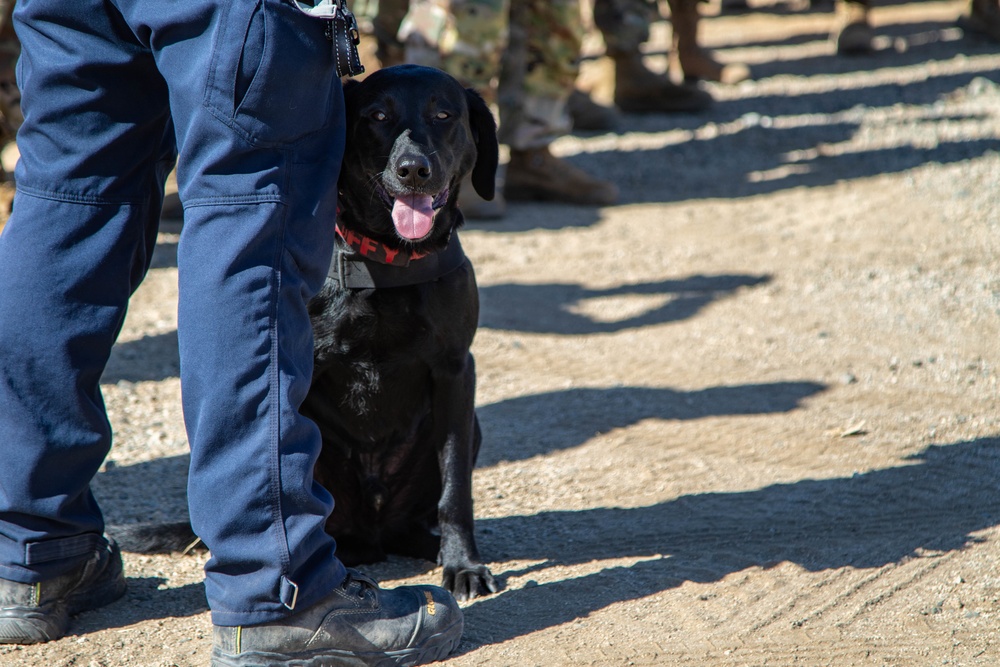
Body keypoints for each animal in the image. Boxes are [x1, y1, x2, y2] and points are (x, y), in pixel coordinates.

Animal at [114, 65, 500, 604]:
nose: (412, 169)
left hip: (467, 427)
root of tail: (373, 531)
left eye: (444, 115)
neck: (386, 260)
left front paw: (463, 564)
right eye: (377, 116)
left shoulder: (455, 372)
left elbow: (456, 488)